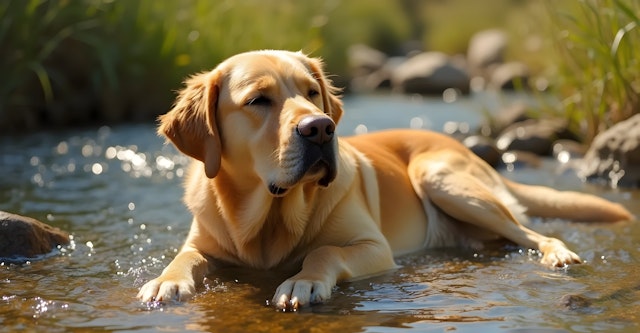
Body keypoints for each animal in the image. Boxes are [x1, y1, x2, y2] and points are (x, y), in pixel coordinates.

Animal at [138, 49, 632, 308]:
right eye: (258, 100)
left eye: (312, 92)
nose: (321, 128)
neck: (272, 215)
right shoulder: (203, 243)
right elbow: (185, 258)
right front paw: (166, 282)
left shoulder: (375, 248)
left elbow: (324, 252)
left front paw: (302, 280)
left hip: (442, 178)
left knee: (530, 231)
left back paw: (558, 254)